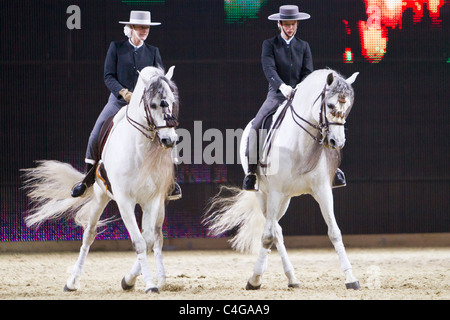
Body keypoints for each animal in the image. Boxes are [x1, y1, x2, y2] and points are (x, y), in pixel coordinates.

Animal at [21, 66, 179, 294]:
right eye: (153, 104)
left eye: (172, 101)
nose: (169, 140)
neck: (141, 150)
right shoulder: (124, 200)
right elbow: (139, 242)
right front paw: (148, 284)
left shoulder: (152, 200)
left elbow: (148, 241)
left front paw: (132, 280)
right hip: (99, 196)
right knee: (89, 234)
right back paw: (72, 282)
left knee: (157, 237)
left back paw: (162, 279)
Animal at [206, 69, 360, 292]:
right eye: (330, 105)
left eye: (348, 107)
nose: (336, 142)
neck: (301, 144)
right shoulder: (275, 192)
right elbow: (268, 236)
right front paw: (254, 279)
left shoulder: (323, 190)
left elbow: (334, 232)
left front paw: (351, 278)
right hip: (264, 195)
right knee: (274, 231)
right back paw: (276, 276)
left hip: (285, 198)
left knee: (276, 228)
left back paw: (292, 278)